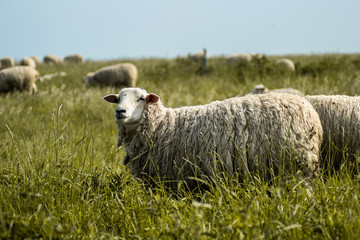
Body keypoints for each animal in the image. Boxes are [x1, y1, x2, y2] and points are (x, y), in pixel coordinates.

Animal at [102, 87, 322, 190]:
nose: (120, 112)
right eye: (118, 98)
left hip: (297, 166)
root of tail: (310, 112)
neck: (164, 125)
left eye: (141, 98)